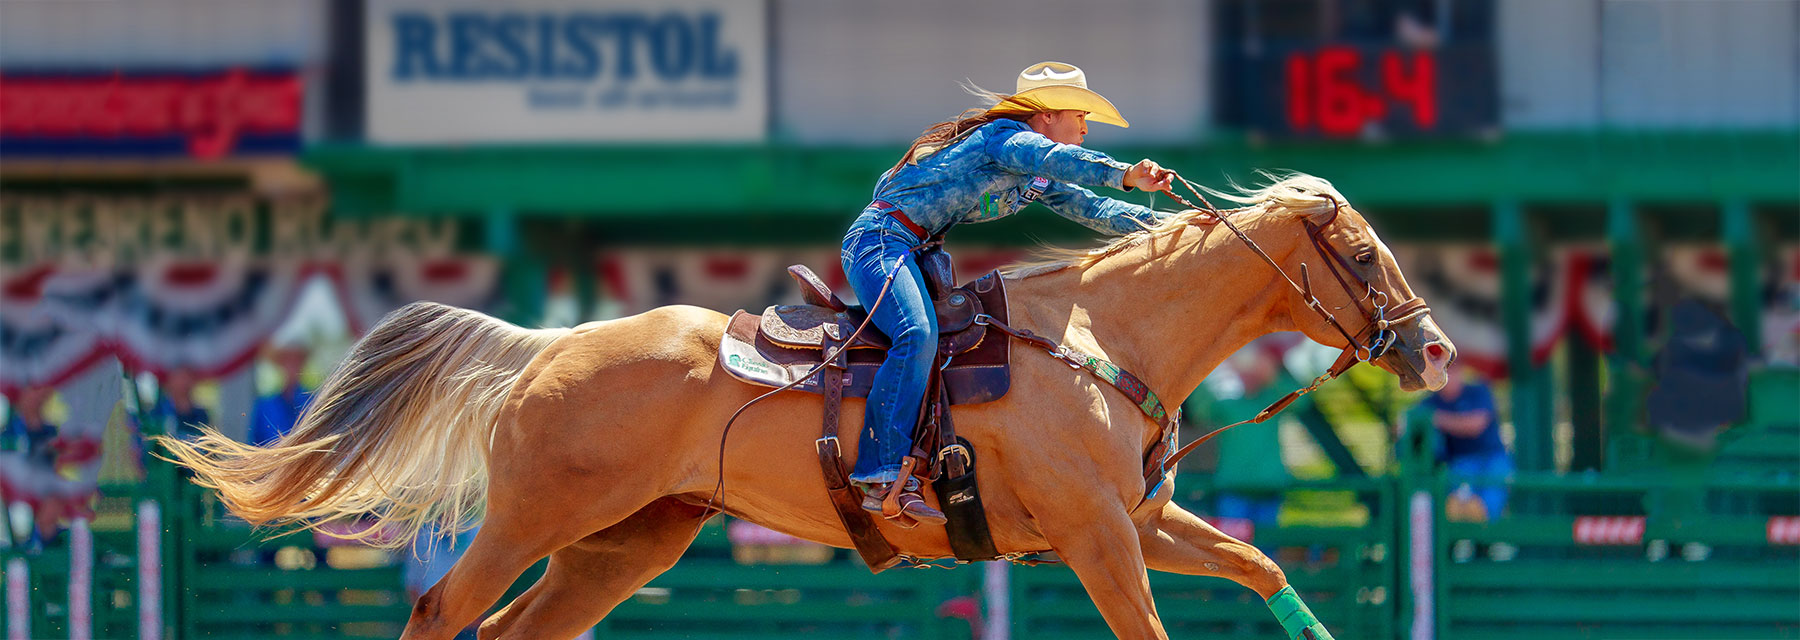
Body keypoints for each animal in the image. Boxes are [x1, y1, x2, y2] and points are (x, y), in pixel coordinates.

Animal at [162, 172, 1461, 636]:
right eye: (1361, 250)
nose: (1439, 349)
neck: (1099, 339)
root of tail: (550, 346)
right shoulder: (1099, 534)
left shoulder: (1131, 520)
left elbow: (1261, 565)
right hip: (534, 515)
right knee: (443, 610)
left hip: (624, 541)